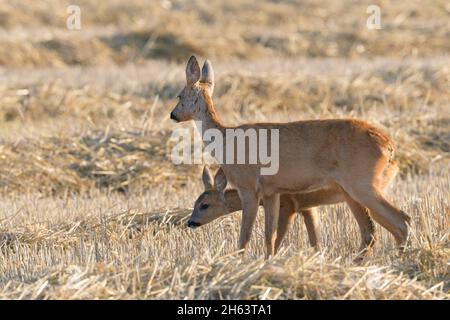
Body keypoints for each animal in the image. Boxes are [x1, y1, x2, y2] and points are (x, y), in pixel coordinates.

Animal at [171, 55, 410, 258]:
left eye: (180, 95)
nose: (173, 115)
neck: (226, 140)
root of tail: (389, 147)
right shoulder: (273, 192)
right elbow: (270, 235)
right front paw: (268, 262)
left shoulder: (248, 186)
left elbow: (245, 236)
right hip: (358, 189)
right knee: (384, 226)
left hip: (361, 184)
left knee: (398, 221)